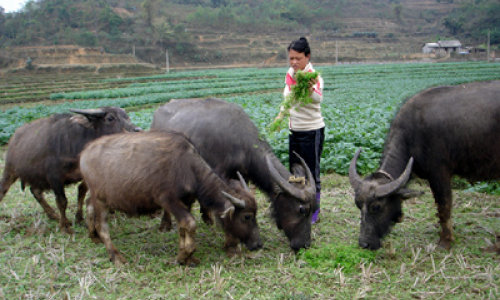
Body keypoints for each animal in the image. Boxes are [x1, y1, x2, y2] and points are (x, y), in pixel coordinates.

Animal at [0, 106, 142, 233]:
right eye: (110, 118)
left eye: (126, 116)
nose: (137, 130)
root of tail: (14, 138)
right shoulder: (54, 177)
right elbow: (62, 201)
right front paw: (65, 226)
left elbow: (81, 192)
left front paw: (79, 218)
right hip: (10, 171)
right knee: (4, 190)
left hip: (37, 178)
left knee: (35, 191)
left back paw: (52, 214)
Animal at [150, 98, 318, 251]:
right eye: (302, 209)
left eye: (314, 209)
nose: (305, 244)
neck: (240, 144)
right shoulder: (220, 174)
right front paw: (230, 241)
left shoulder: (242, 177)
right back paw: (165, 224)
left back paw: (207, 218)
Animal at [348, 81, 500, 252]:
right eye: (357, 204)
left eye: (377, 207)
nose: (364, 243)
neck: (413, 134)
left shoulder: (439, 173)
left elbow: (444, 206)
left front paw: (445, 241)